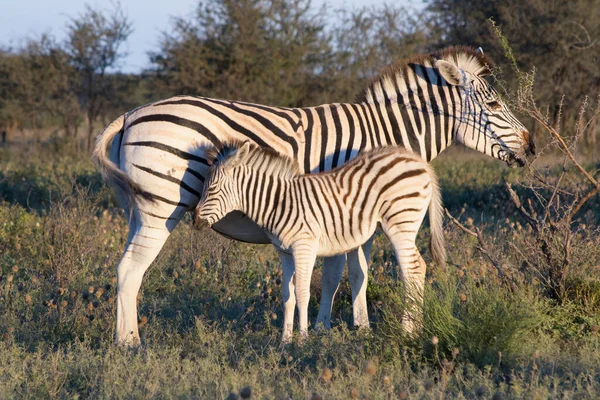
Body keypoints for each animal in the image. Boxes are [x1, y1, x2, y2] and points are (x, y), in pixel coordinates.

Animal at [94, 46, 536, 344]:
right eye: (494, 103)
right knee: (131, 270)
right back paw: (130, 344)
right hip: (161, 208)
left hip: (138, 209)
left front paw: (323, 328)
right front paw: (359, 329)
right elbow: (355, 271)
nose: (532, 148)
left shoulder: (340, 213)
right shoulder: (356, 208)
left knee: (123, 268)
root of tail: (132, 113)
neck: (385, 134)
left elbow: (336, 272)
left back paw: (123, 339)